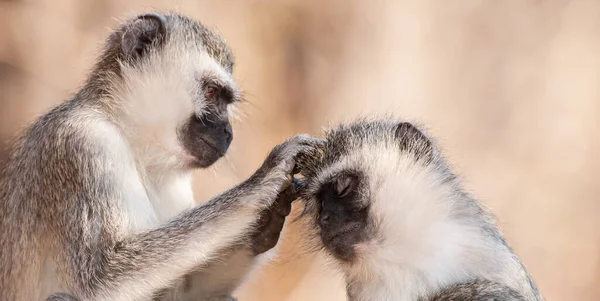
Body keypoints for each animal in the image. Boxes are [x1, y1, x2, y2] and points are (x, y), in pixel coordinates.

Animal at [0, 11, 324, 300]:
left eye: (225, 100)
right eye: (211, 93)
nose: (228, 131)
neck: (132, 141)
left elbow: (187, 290)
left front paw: (269, 216)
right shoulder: (83, 143)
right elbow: (100, 277)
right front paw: (264, 178)